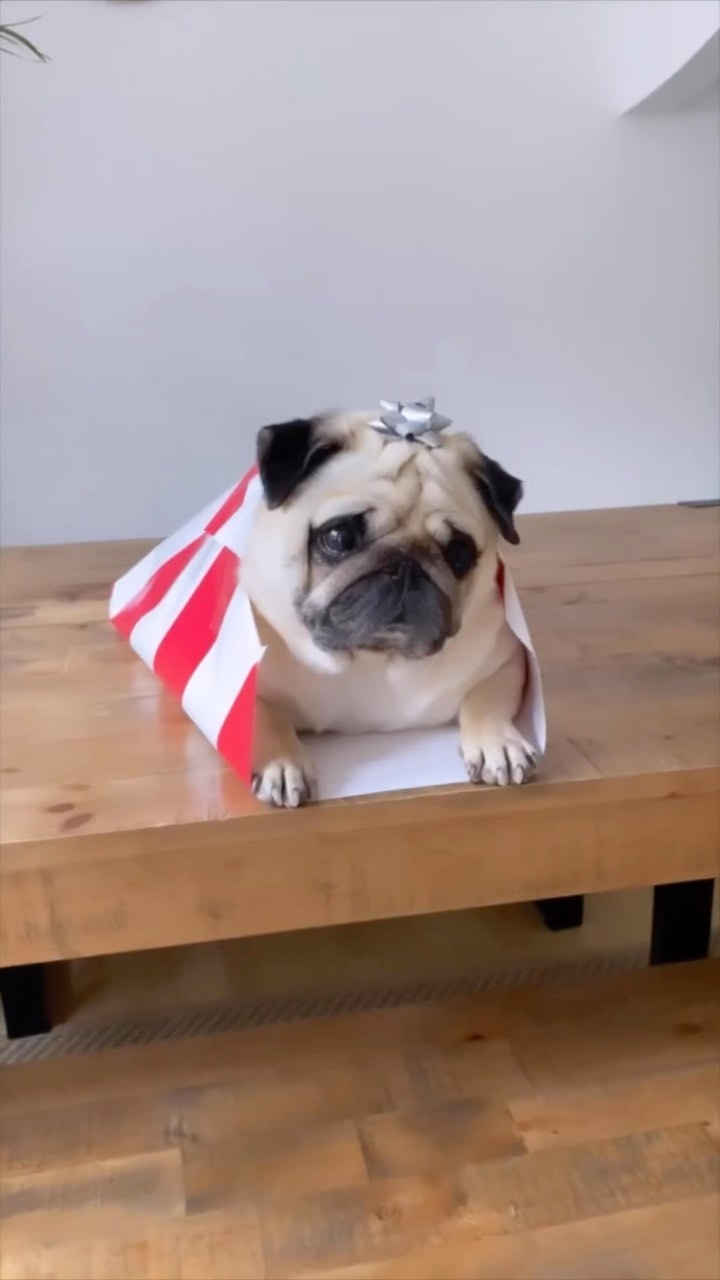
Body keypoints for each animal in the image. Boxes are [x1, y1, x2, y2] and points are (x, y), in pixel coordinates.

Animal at [240, 411, 536, 807]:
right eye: (339, 537)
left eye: (458, 553)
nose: (406, 566)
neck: (373, 659)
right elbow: (261, 714)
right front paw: (282, 762)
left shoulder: (505, 661)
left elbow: (484, 700)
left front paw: (498, 743)